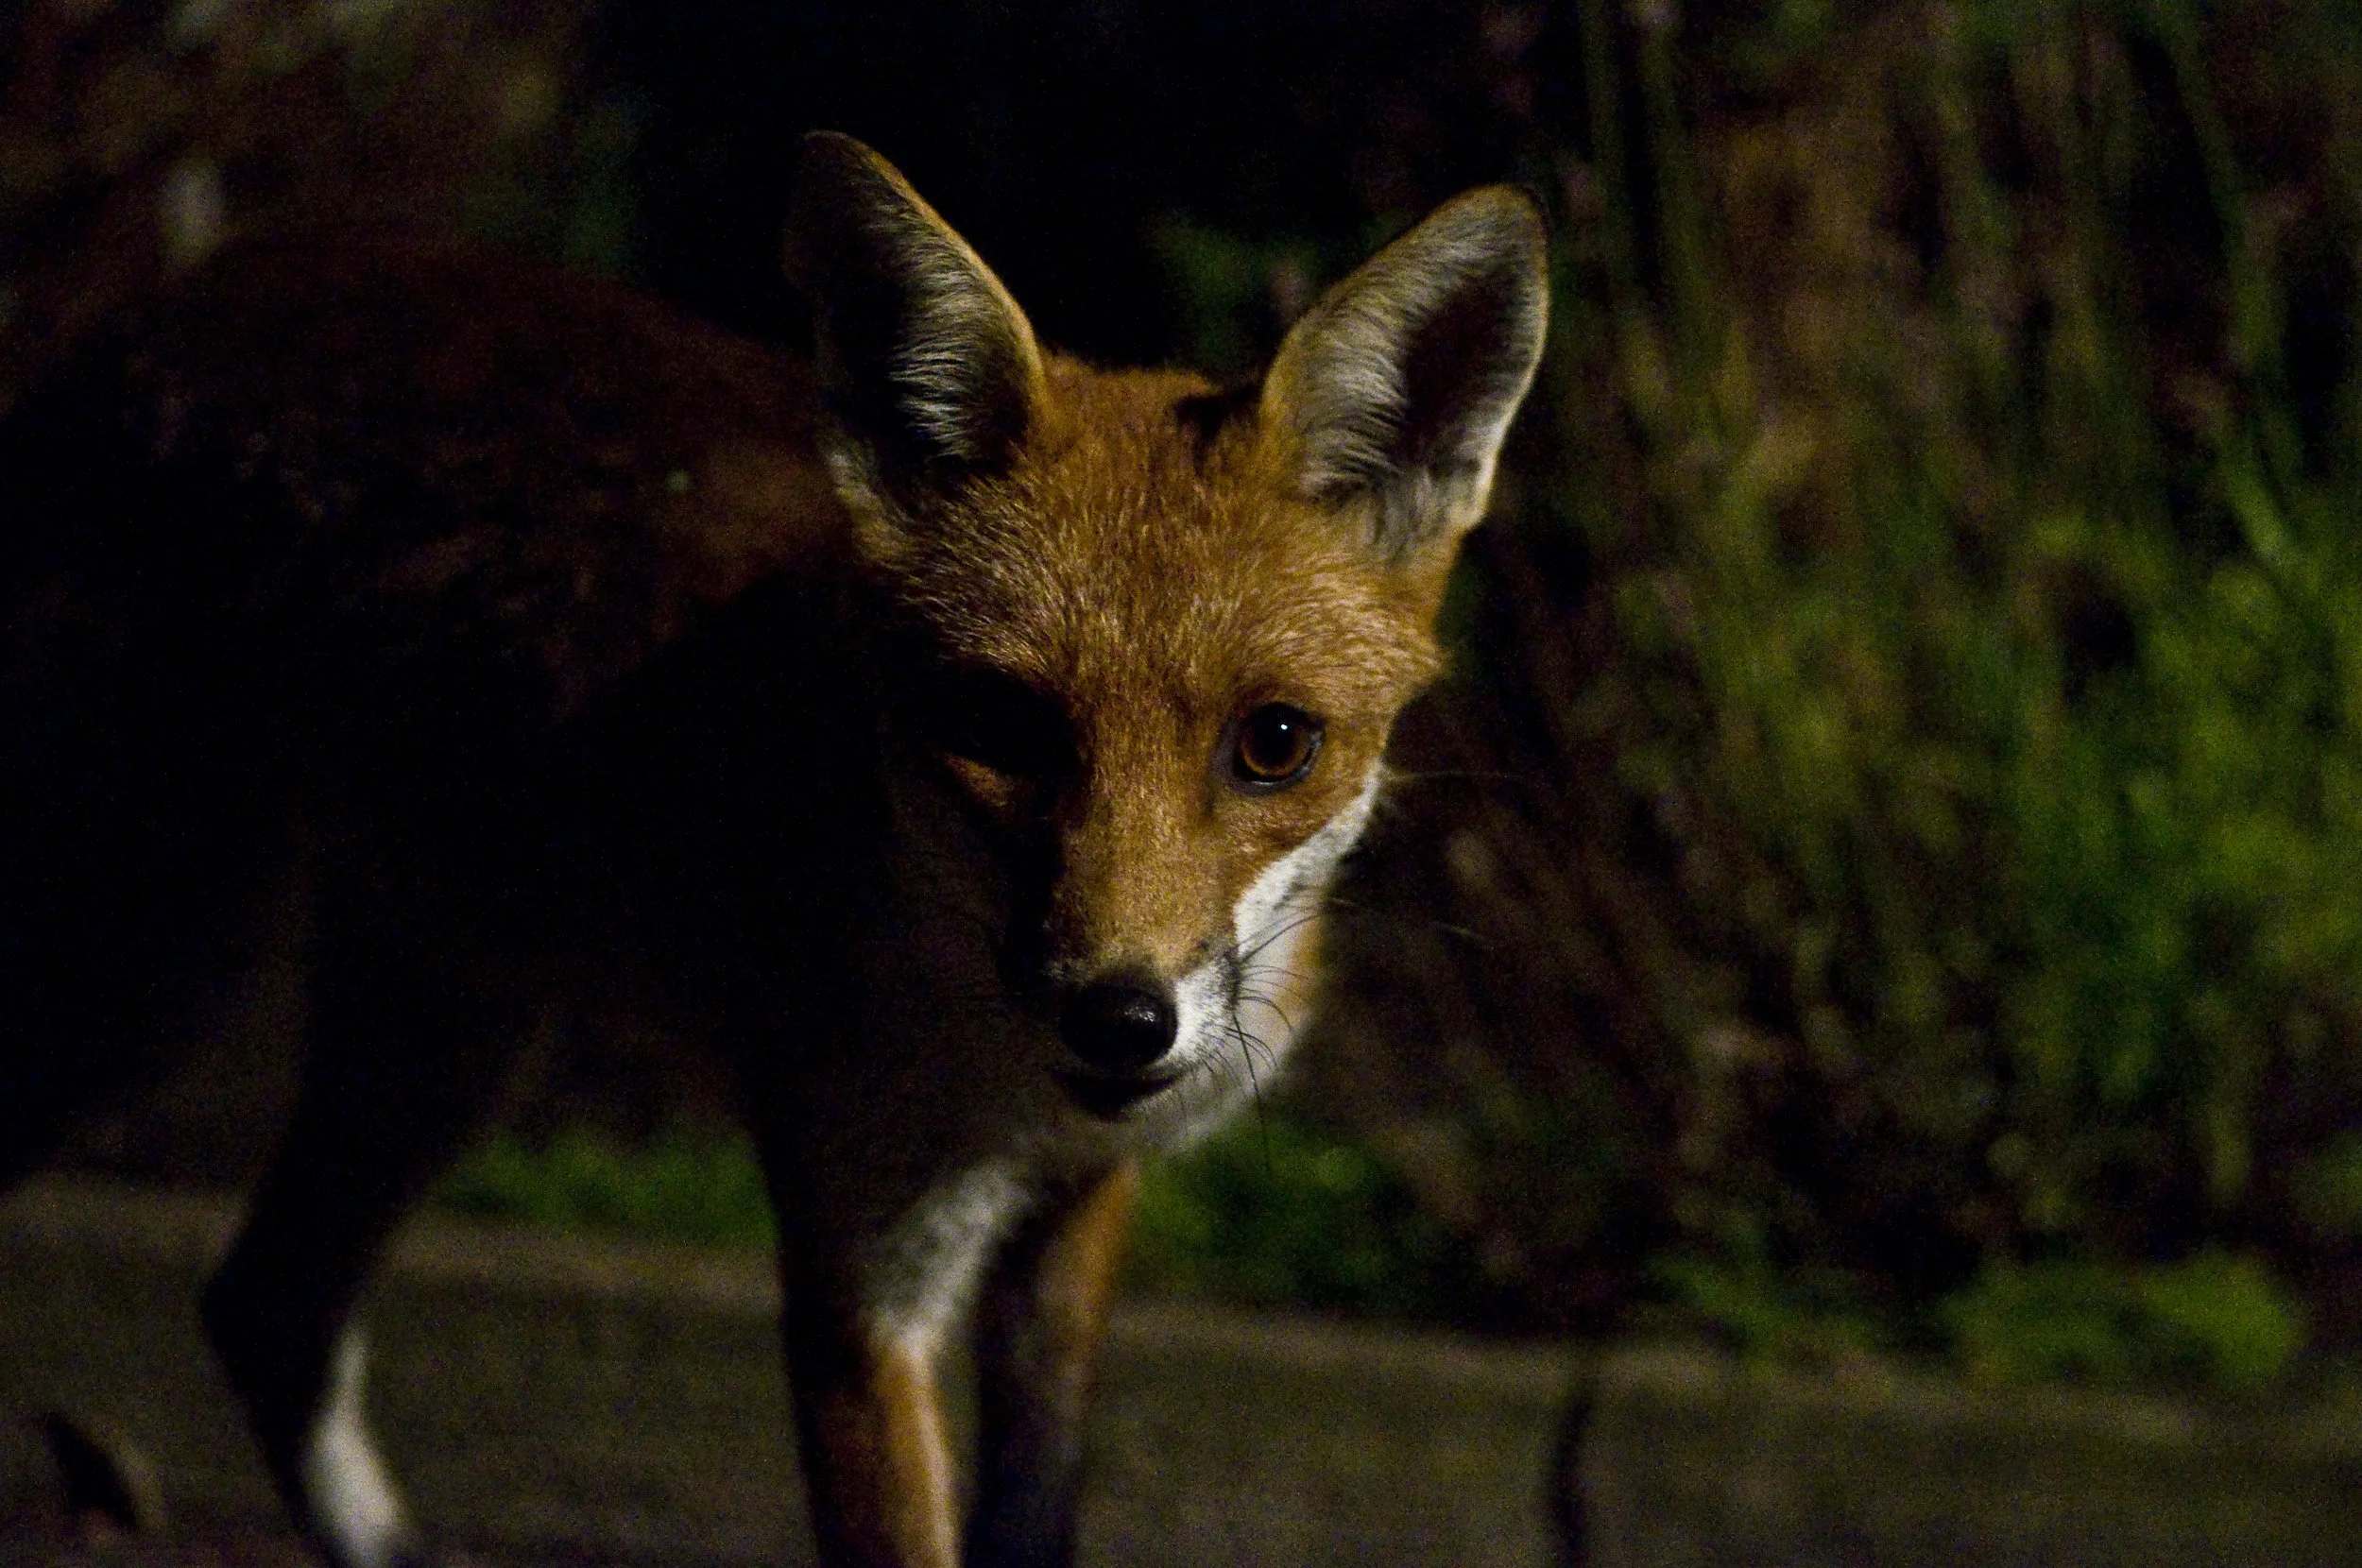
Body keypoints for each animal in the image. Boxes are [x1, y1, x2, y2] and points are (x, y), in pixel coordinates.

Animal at [0, 133, 1547, 1567]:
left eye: (1273, 744)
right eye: (999, 724)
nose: (1120, 1018)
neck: (997, 1082)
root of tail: (179, 301)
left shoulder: (1072, 1214)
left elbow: (1036, 1508)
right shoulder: (860, 1260)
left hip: (444, 1024)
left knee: (269, 1306)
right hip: (149, 986)